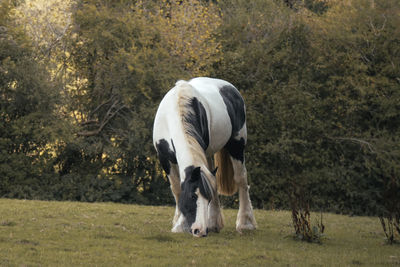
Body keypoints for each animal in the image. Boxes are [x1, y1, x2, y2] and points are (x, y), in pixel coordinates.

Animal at [153, 77, 256, 239]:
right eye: (192, 196)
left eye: (207, 200)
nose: (200, 231)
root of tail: (230, 87)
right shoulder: (164, 158)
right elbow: (176, 188)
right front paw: (179, 223)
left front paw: (181, 224)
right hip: (208, 154)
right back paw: (214, 224)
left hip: (237, 144)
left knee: (241, 180)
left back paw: (245, 223)